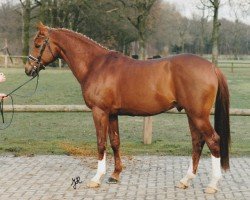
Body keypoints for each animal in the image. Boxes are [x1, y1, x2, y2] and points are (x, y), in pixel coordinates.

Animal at [25, 23, 230, 194]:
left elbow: (101, 143)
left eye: (37, 44)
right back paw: (185, 180)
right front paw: (115, 175)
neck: (95, 65)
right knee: (197, 142)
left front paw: (96, 178)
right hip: (191, 114)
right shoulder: (112, 114)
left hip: (198, 115)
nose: (28, 69)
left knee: (213, 140)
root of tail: (212, 67)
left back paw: (212, 185)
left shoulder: (99, 112)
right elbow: (115, 142)